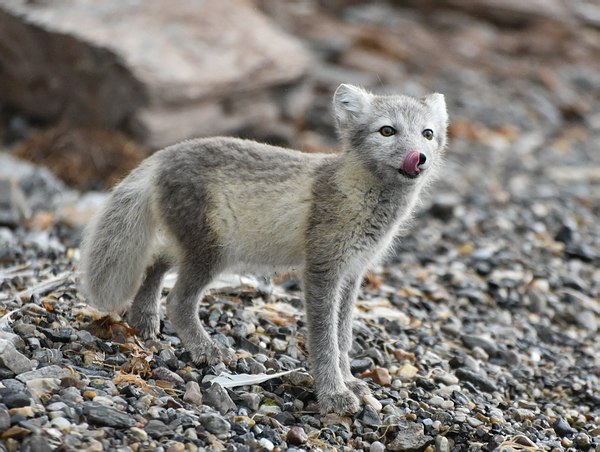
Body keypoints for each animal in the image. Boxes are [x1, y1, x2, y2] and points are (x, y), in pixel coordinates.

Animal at [78, 83, 446, 414]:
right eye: (387, 131)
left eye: (427, 134)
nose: (419, 158)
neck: (360, 196)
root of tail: (162, 155)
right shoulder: (322, 269)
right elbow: (325, 341)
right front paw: (334, 395)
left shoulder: (352, 273)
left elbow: (343, 339)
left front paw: (350, 381)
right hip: (213, 252)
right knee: (178, 302)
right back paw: (206, 349)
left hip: (190, 244)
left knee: (155, 263)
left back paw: (144, 321)